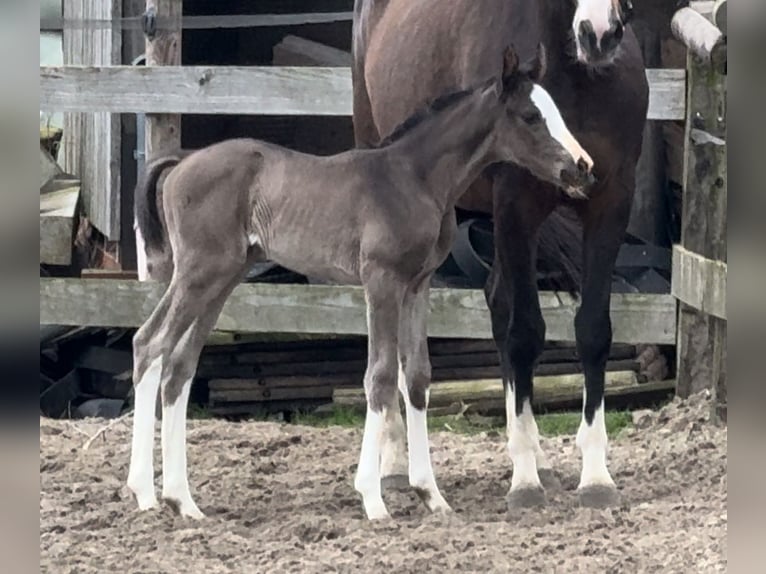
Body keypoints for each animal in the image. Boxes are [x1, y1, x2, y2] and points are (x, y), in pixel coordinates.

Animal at [127, 45, 592, 520]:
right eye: (530, 116)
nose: (582, 167)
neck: (414, 179)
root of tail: (181, 163)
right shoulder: (381, 280)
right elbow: (381, 375)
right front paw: (373, 498)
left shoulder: (418, 285)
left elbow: (417, 376)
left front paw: (432, 494)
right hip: (199, 271)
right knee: (150, 343)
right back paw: (146, 493)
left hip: (224, 277)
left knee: (179, 364)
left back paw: (181, 500)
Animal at [352, 0, 648, 510]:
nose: (599, 33)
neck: (576, 75)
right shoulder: (514, 204)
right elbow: (526, 332)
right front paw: (524, 481)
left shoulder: (611, 202)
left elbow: (592, 330)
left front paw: (594, 477)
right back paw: (393, 467)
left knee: (496, 304)